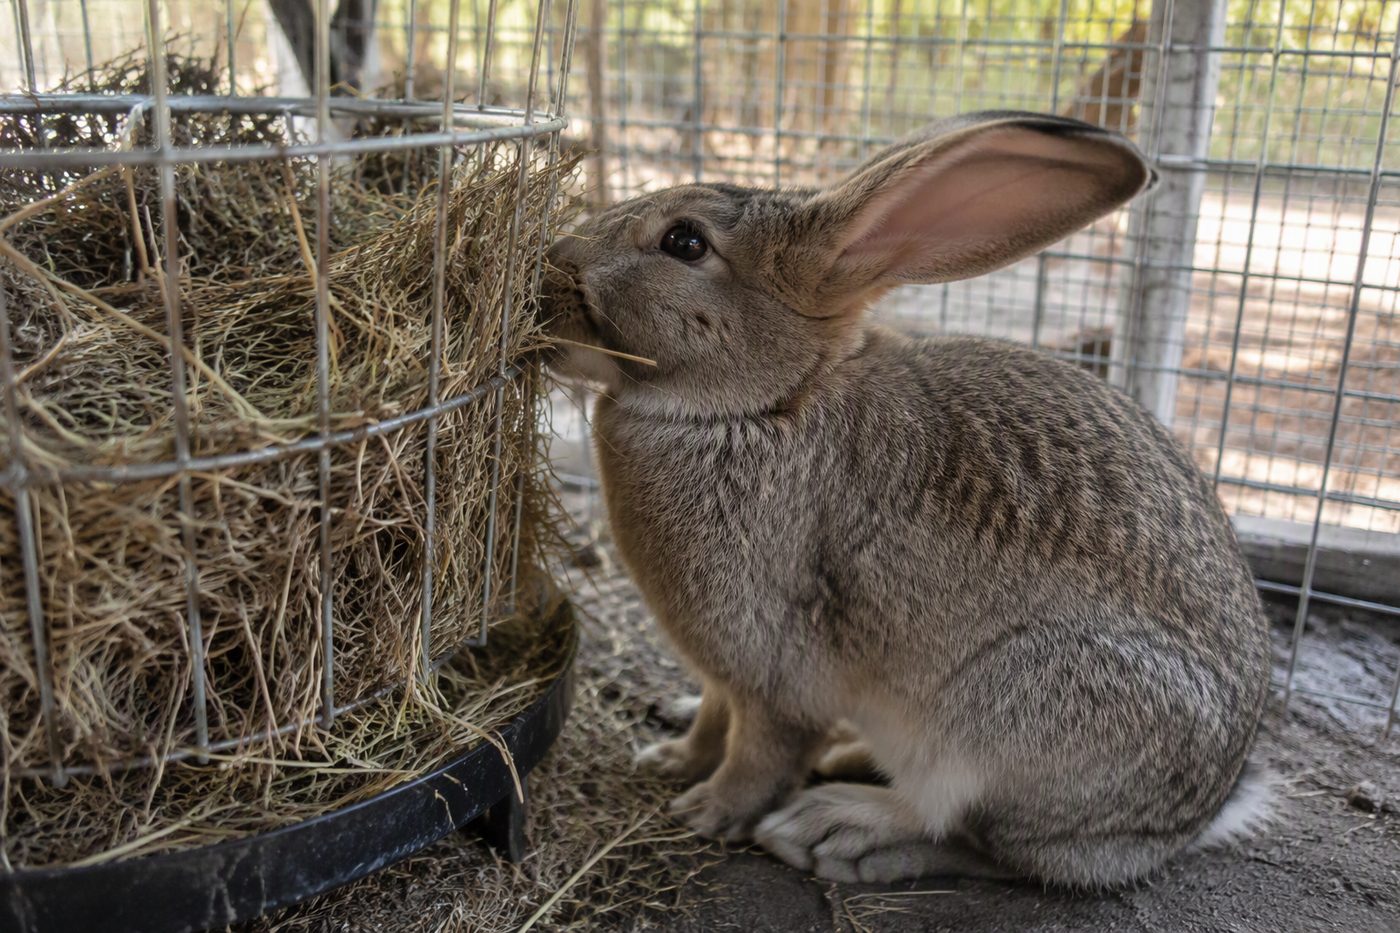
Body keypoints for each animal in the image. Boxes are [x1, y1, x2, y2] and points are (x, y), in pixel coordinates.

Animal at [540, 111, 1274, 887]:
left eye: (684, 241)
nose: (550, 266)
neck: (762, 404)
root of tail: (1190, 820)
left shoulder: (772, 666)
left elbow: (762, 751)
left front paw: (706, 810)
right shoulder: (723, 672)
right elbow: (714, 716)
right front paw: (671, 759)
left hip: (1013, 710)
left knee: (978, 839)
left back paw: (835, 828)